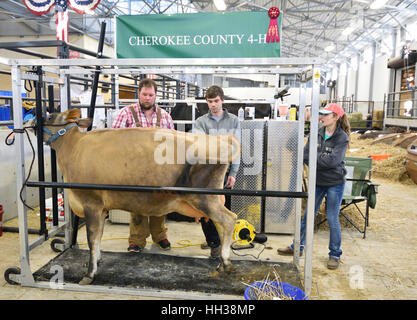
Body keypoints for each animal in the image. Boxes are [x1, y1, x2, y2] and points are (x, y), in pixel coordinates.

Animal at [29, 109, 239, 284]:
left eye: (49, 115)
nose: (30, 120)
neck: (74, 148)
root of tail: (221, 140)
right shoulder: (102, 208)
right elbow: (99, 237)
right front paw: (98, 260)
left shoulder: (91, 204)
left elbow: (91, 239)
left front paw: (89, 274)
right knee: (221, 224)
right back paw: (221, 264)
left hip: (204, 198)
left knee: (229, 219)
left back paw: (226, 263)